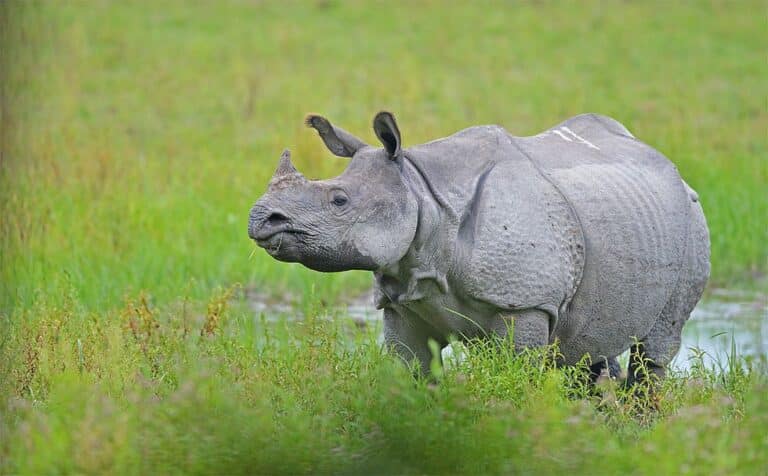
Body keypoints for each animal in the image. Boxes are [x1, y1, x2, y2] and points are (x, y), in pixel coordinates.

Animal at [248, 112, 710, 383]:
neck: (423, 192)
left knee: (655, 349)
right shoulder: (403, 301)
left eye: (339, 200)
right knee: (587, 349)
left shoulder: (525, 302)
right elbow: (411, 372)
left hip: (693, 220)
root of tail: (668, 164)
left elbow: (515, 379)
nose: (260, 218)